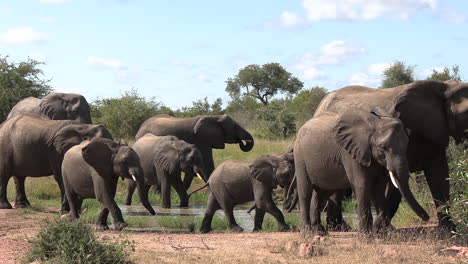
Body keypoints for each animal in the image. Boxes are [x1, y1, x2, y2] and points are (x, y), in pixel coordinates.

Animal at [294, 110, 430, 234]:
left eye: (406, 145)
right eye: (383, 147)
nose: (427, 217)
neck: (374, 123)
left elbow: (379, 188)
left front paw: (379, 232)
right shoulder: (350, 153)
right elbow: (362, 185)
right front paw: (366, 236)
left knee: (322, 194)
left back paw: (320, 232)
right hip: (300, 157)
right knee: (305, 192)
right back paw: (307, 233)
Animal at [312, 80, 468, 229]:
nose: (426, 217)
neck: (444, 88)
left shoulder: (433, 131)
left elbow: (439, 176)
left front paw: (449, 229)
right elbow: (395, 185)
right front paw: (380, 228)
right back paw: (339, 227)